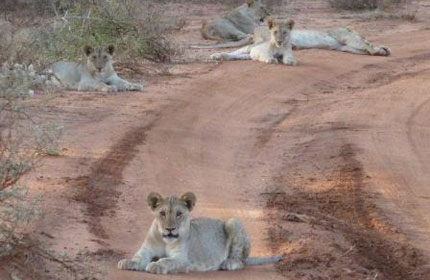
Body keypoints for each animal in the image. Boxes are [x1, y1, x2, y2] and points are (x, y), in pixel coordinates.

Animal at [116, 191, 282, 274]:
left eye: (179, 214)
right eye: (163, 213)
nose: (170, 229)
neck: (165, 241)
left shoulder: (183, 259)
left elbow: (167, 260)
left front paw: (156, 265)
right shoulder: (146, 250)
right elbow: (138, 257)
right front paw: (128, 262)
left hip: (233, 221)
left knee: (241, 261)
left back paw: (227, 263)